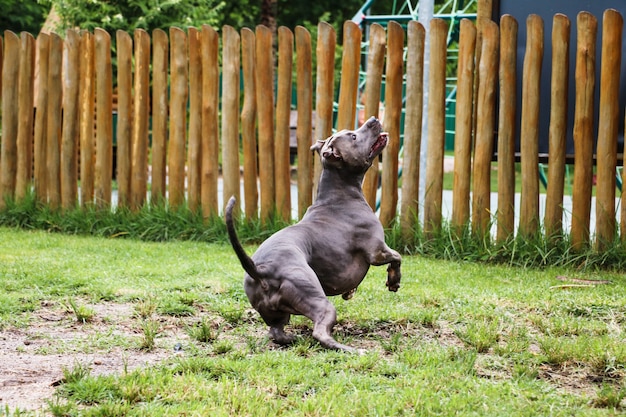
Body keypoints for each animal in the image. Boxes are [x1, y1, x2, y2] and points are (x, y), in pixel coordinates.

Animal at [224, 116, 400, 352]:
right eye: (353, 136)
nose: (372, 119)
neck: (340, 193)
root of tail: (260, 270)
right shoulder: (377, 251)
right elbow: (397, 256)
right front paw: (394, 281)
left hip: (277, 314)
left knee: (276, 332)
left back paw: (292, 339)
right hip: (314, 297)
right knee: (320, 333)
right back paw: (353, 350)